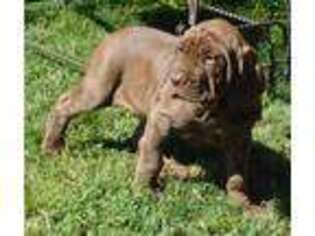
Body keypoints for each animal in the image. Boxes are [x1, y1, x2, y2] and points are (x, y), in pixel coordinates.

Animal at [43, 18, 266, 206]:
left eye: (210, 58)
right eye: (180, 50)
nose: (174, 79)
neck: (213, 107)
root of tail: (116, 32)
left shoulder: (240, 138)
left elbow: (238, 175)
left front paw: (243, 204)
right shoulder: (163, 117)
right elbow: (152, 156)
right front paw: (143, 191)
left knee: (139, 140)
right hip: (99, 89)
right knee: (64, 105)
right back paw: (51, 147)